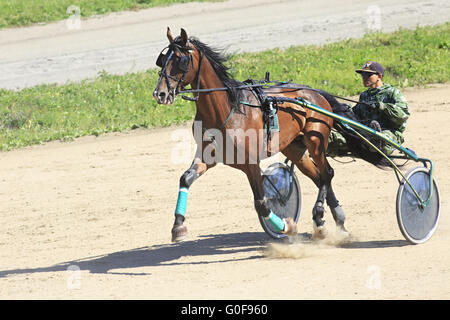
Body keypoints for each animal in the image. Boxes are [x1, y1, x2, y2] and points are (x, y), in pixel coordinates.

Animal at [153, 28, 346, 242]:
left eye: (180, 60)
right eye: (162, 60)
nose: (160, 94)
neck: (227, 110)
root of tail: (315, 93)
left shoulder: (251, 163)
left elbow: (262, 204)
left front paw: (287, 226)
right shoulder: (208, 156)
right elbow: (185, 178)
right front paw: (178, 226)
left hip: (315, 140)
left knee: (327, 173)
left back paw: (322, 215)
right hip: (295, 149)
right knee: (319, 177)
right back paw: (328, 221)